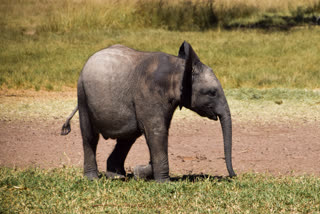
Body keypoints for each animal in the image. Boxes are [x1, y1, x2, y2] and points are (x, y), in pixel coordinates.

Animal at [61, 41, 235, 182]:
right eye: (212, 93)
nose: (234, 176)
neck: (179, 67)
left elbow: (155, 133)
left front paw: (139, 172)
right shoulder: (150, 93)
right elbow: (156, 132)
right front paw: (163, 182)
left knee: (128, 137)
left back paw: (117, 176)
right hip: (83, 94)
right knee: (90, 136)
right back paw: (93, 178)